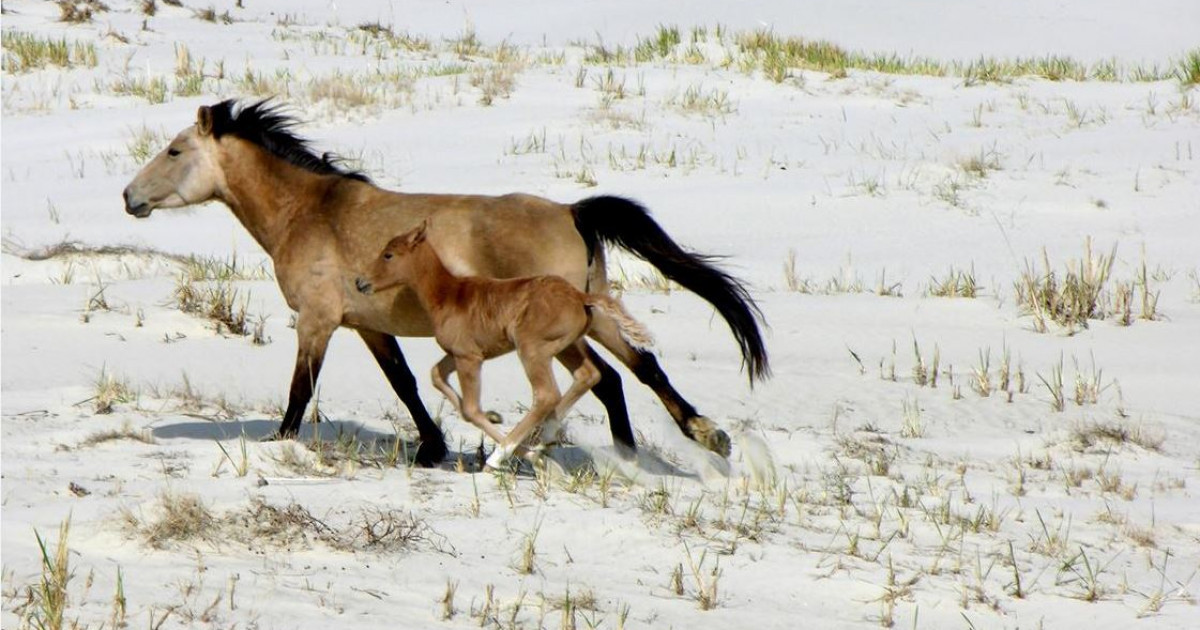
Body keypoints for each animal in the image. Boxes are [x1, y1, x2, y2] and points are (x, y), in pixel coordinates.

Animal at [355, 220, 652, 465]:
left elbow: (471, 409)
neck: (449, 296)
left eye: (388, 254)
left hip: (531, 348)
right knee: (588, 375)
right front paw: (503, 427)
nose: (360, 282)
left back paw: (504, 455)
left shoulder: (468, 357)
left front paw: (517, 454)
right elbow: (439, 378)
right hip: (566, 346)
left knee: (546, 394)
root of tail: (581, 297)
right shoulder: (460, 354)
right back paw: (544, 438)